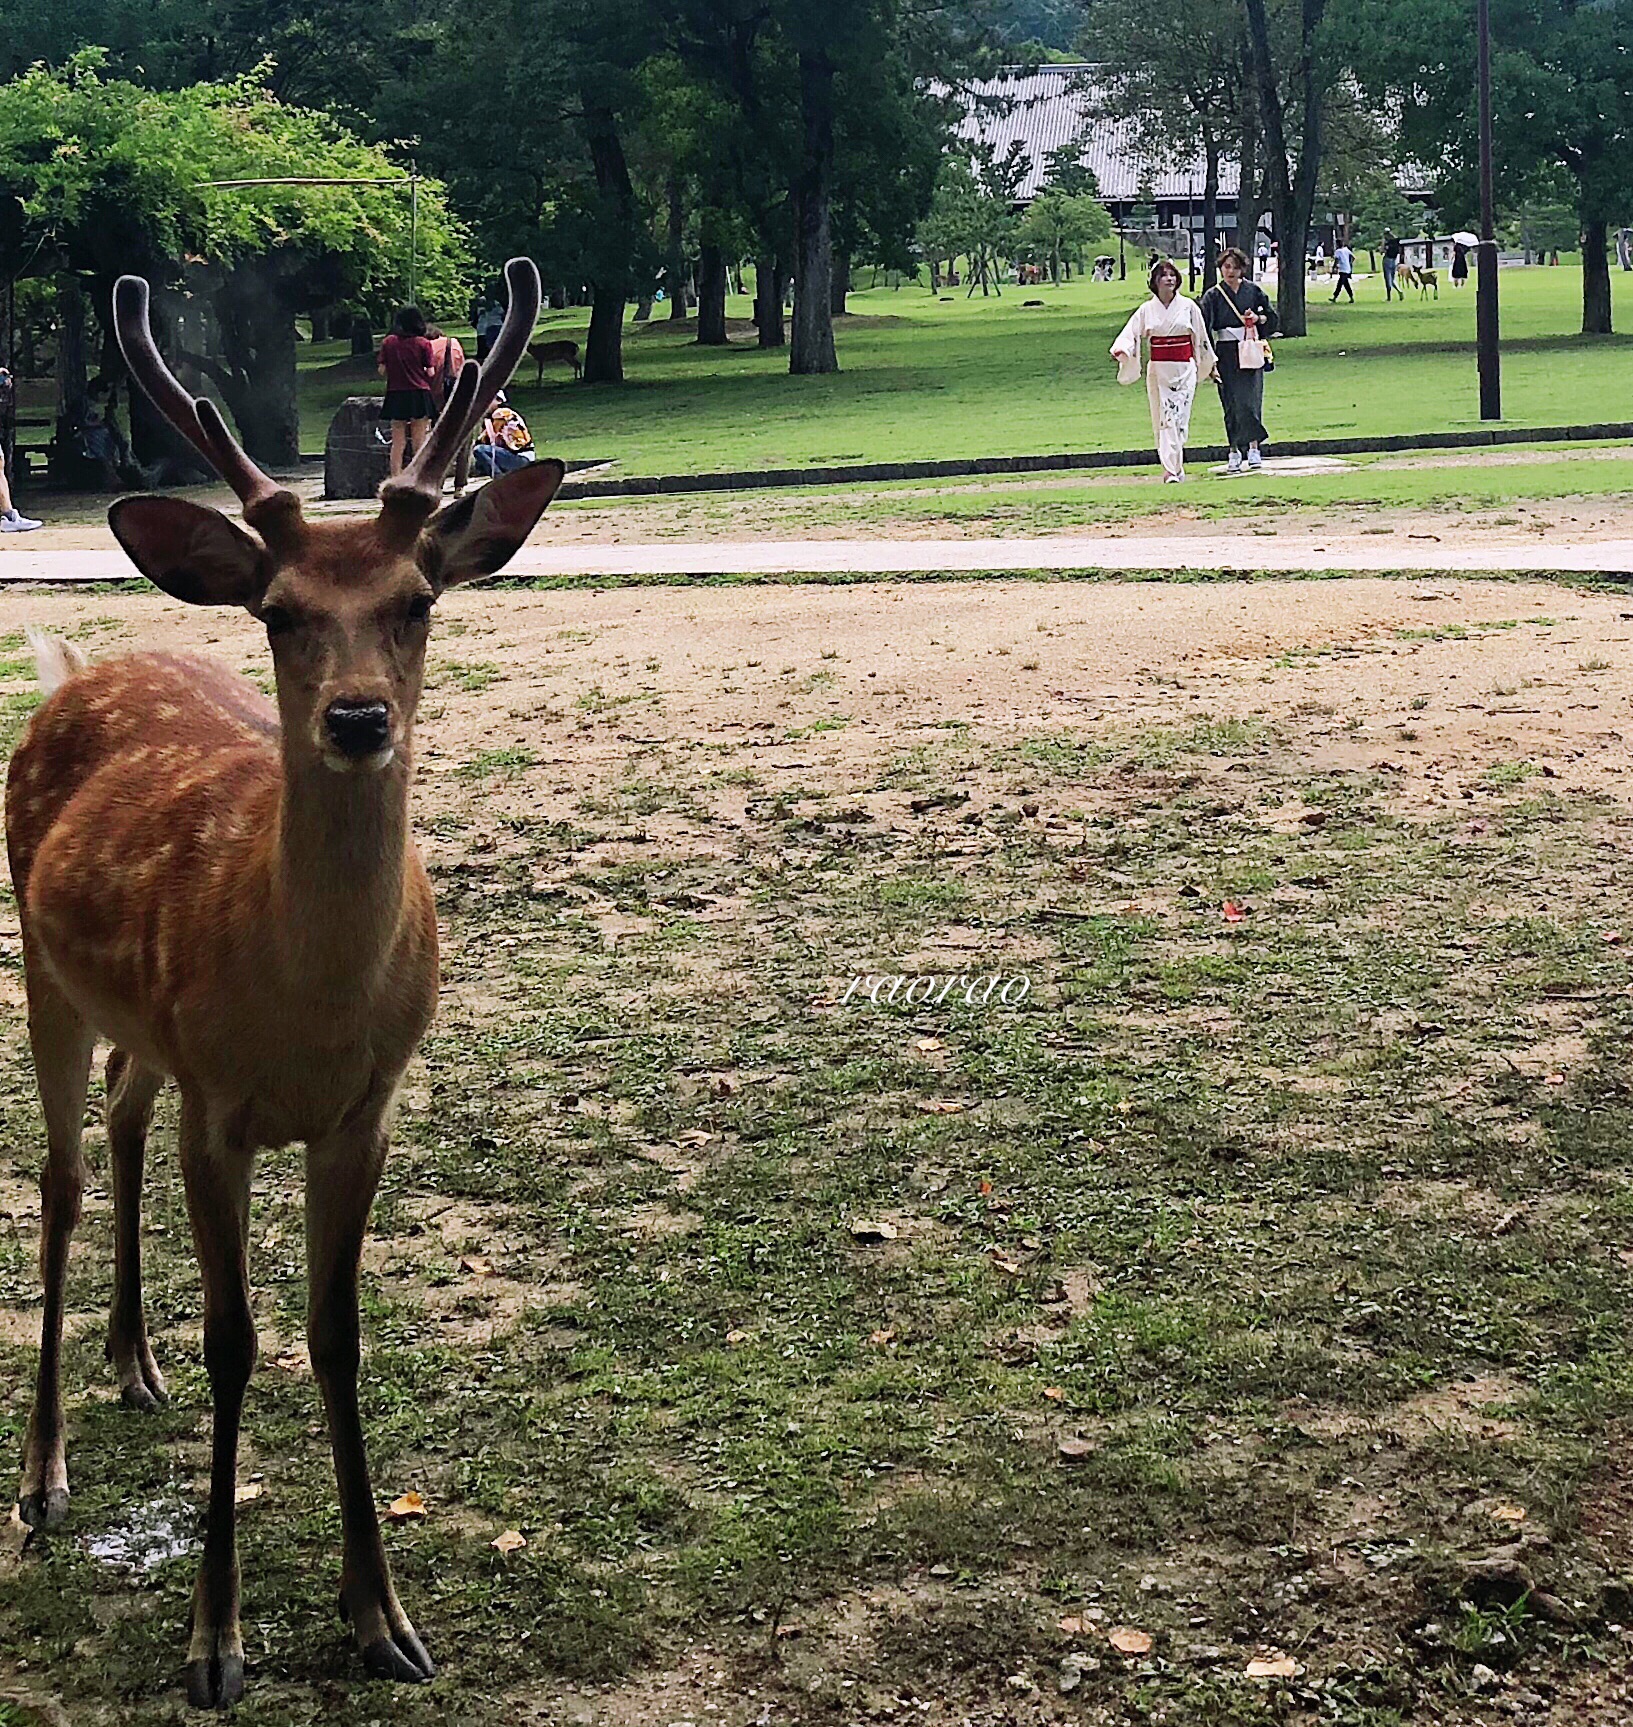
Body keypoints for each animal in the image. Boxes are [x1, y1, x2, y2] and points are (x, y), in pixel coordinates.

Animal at [9, 259, 562, 1713]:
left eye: (419, 598)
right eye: (280, 611)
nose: (359, 718)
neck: (308, 1011)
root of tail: (75, 672)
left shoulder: (363, 1109)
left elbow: (335, 1332)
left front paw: (384, 1616)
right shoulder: (225, 1109)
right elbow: (240, 1338)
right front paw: (216, 1638)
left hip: (141, 1027)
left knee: (121, 1117)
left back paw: (132, 1362)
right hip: (39, 967)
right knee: (61, 1180)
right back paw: (41, 1474)